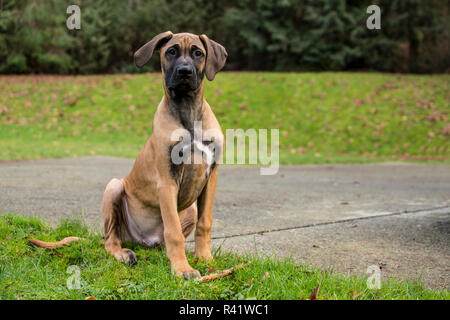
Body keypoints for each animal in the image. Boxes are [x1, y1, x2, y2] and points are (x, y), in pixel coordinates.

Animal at [103, 31, 227, 278]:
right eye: (171, 51)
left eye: (198, 53)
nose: (185, 72)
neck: (188, 111)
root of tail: (144, 241)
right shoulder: (167, 181)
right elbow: (174, 232)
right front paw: (182, 268)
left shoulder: (211, 177)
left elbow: (205, 223)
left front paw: (205, 258)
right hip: (114, 186)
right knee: (110, 239)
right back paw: (123, 254)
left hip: (190, 209)